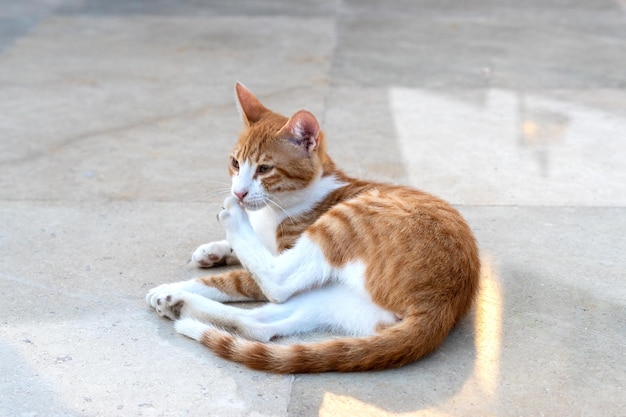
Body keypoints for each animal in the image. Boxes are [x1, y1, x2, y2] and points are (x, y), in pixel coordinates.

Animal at [146, 83, 478, 372]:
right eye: (235, 163)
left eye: (264, 169)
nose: (239, 192)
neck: (276, 207)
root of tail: (442, 305)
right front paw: (210, 252)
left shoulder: (285, 249)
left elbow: (237, 279)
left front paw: (175, 283)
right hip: (333, 300)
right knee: (260, 325)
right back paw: (179, 305)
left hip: (342, 223)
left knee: (277, 284)